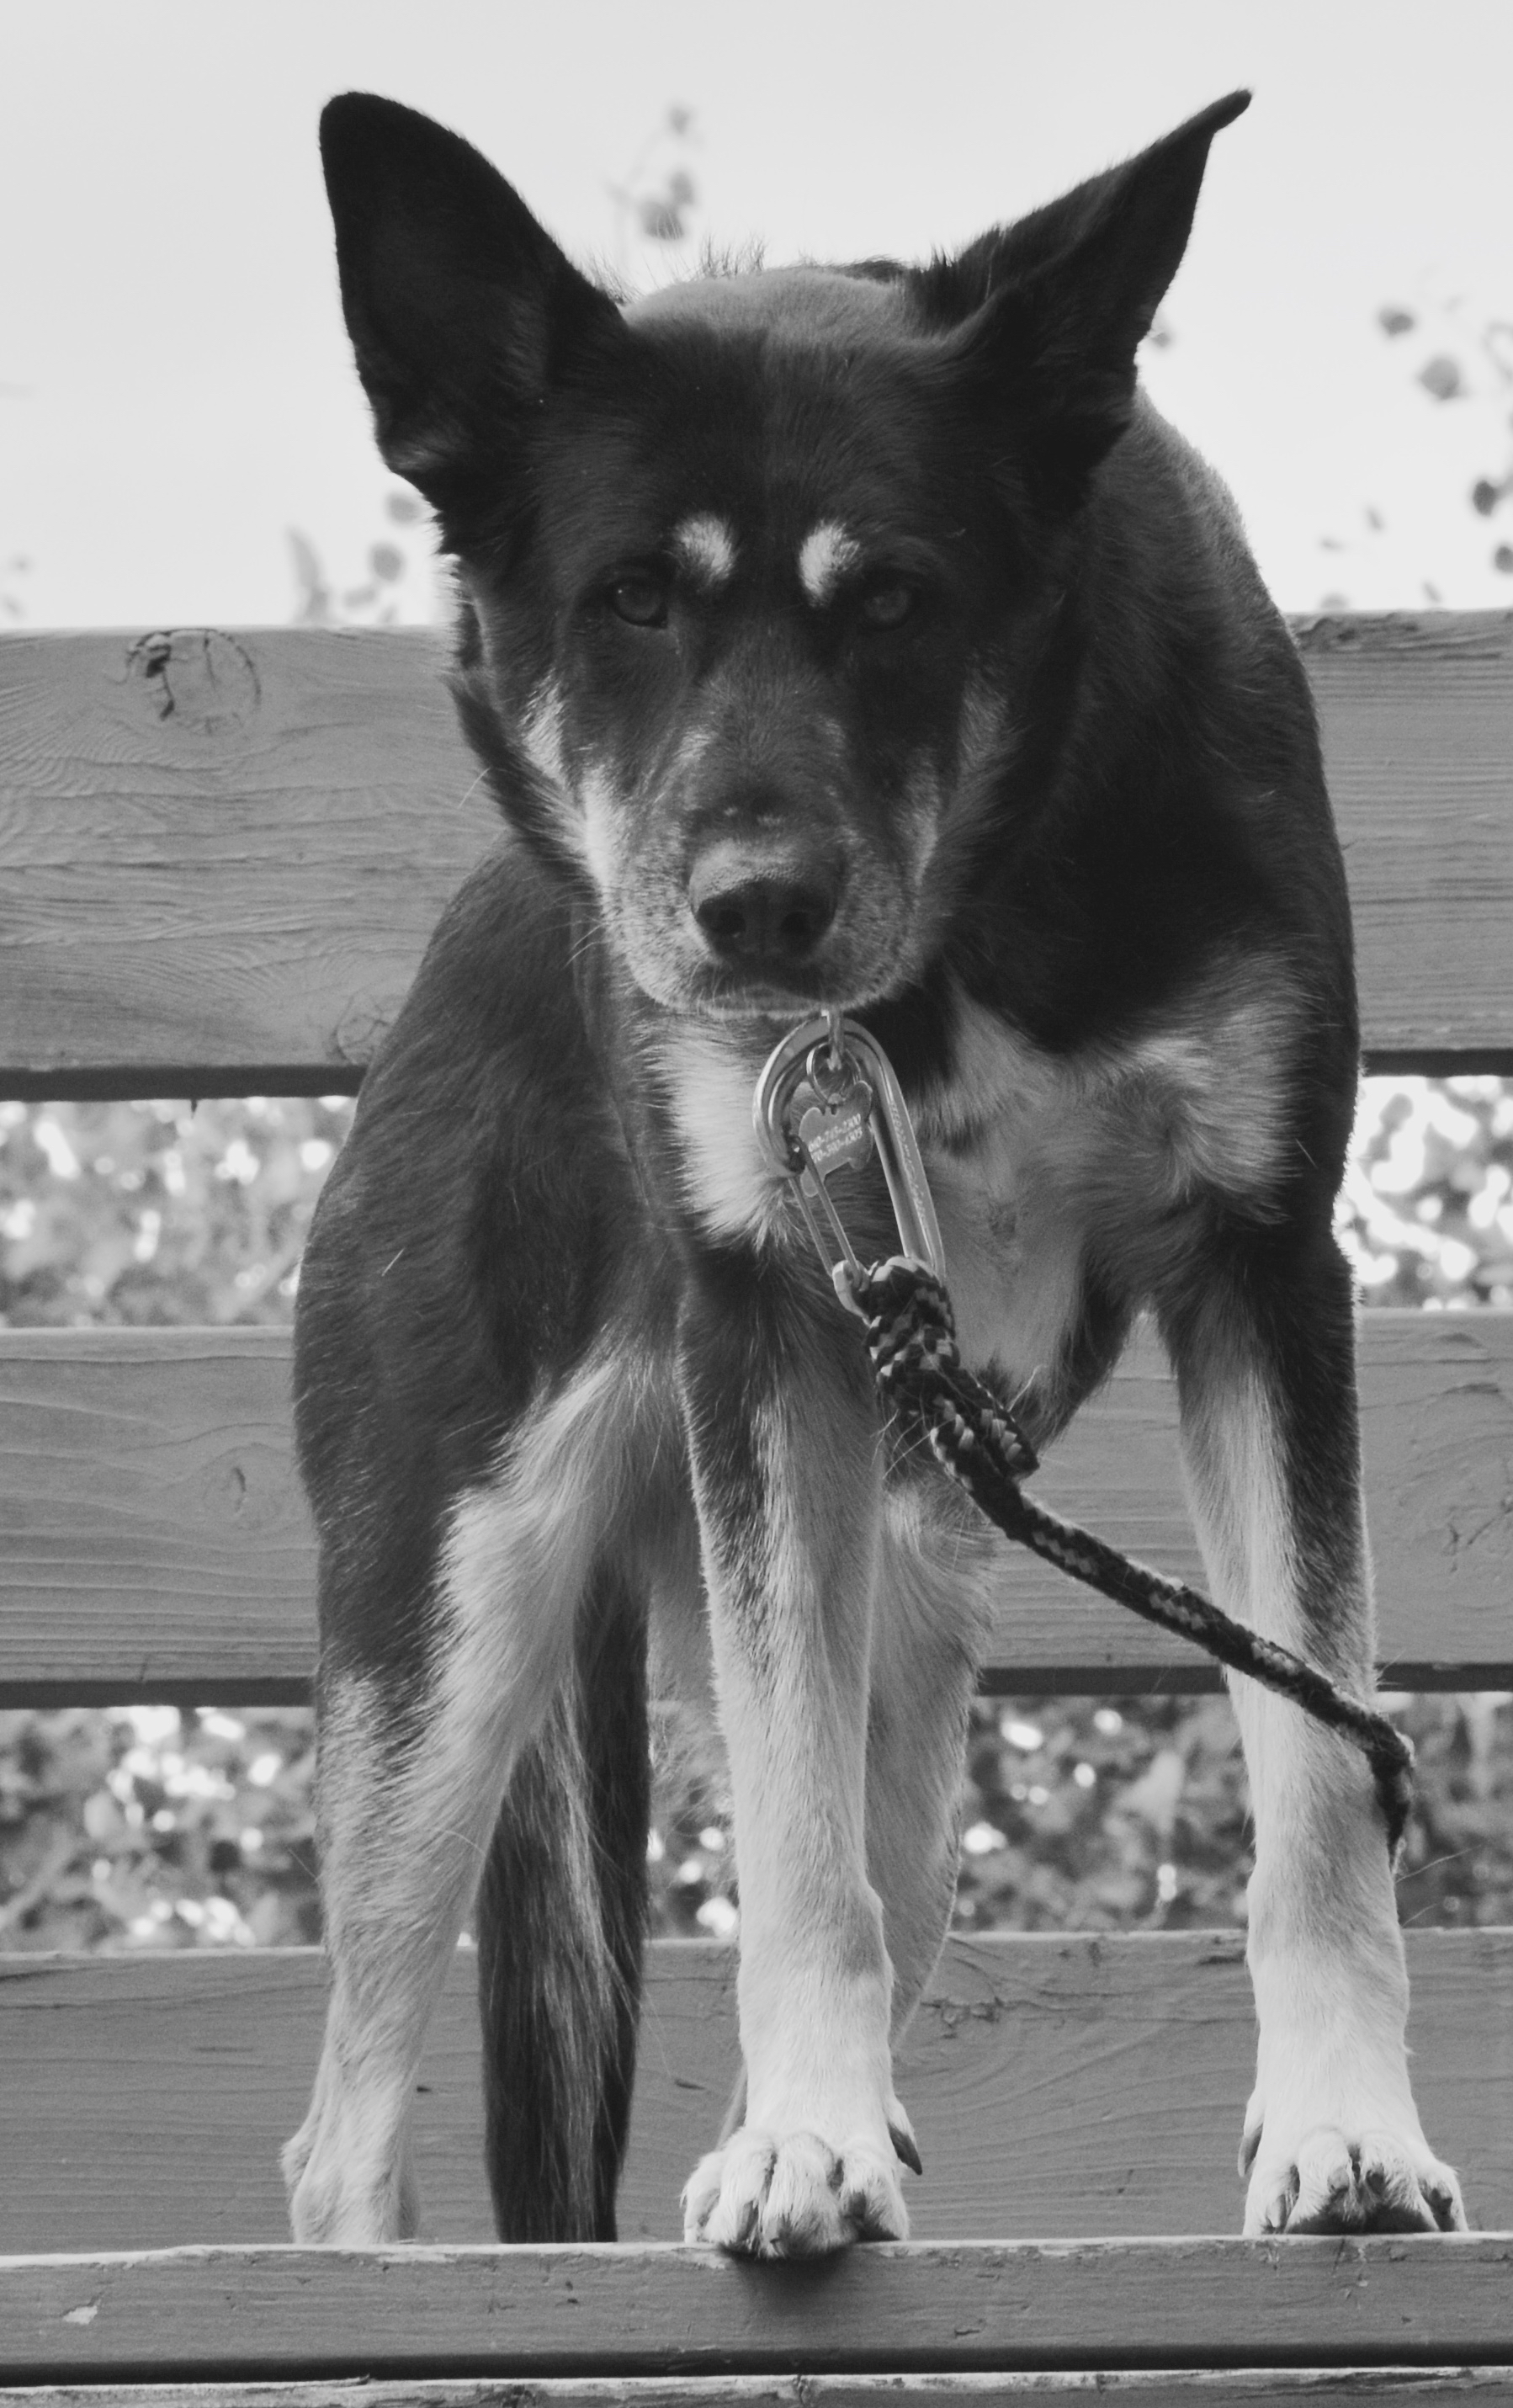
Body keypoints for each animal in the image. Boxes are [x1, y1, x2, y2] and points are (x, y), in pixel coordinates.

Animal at [284, 88, 1467, 2256]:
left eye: (896, 598)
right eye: (630, 599)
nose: (752, 912)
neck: (967, 925)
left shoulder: (1257, 1268)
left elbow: (1313, 1772)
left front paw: (1346, 2130)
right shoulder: (765, 1328)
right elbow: (786, 1838)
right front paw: (799, 2141)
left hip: (905, 1614)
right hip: (446, 1605)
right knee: (341, 2126)